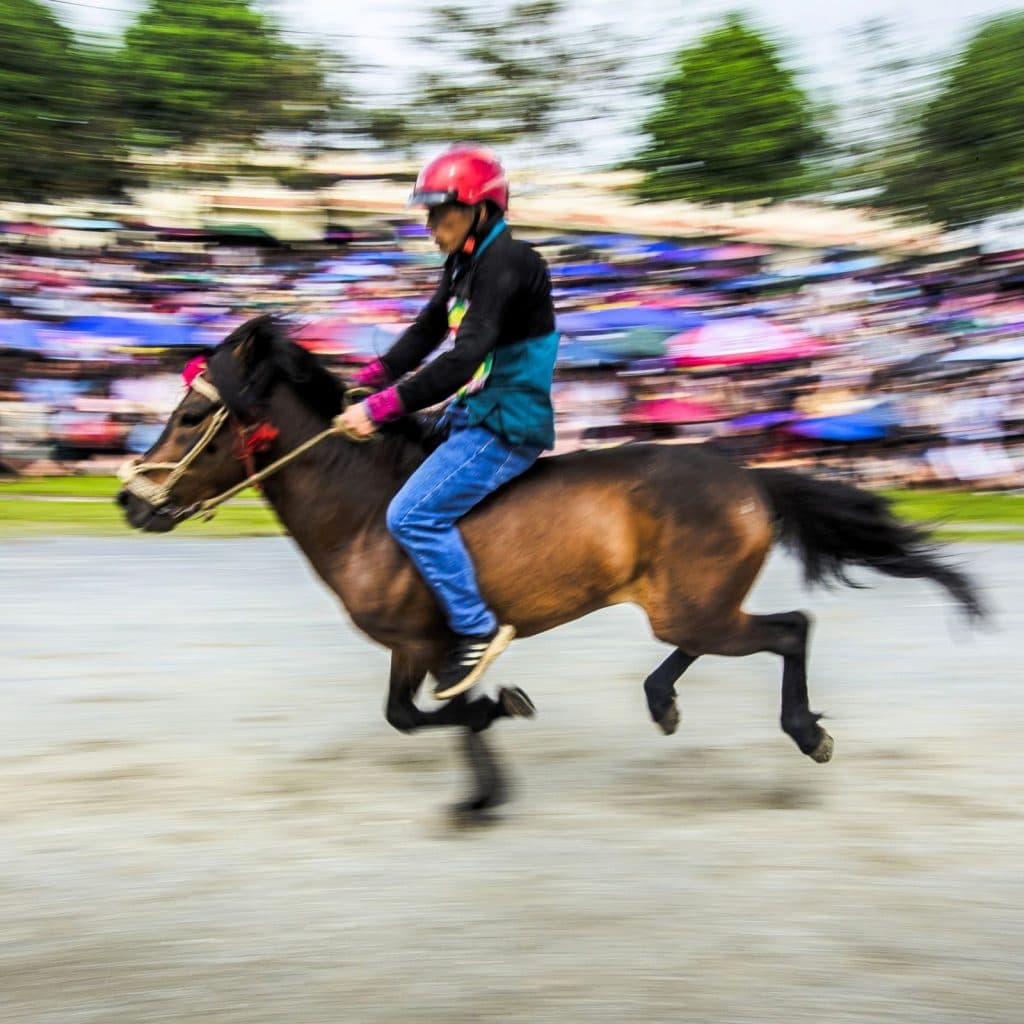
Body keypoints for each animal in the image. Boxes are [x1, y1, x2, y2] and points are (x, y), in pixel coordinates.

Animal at [116, 315, 984, 816]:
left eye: (191, 416)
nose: (129, 500)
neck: (366, 505)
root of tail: (748, 474)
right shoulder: (426, 643)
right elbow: (424, 713)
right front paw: (486, 782)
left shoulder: (427, 640)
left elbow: (428, 714)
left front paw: (499, 726)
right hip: (686, 600)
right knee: (720, 637)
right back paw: (661, 698)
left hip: (695, 603)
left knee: (791, 627)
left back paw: (803, 732)